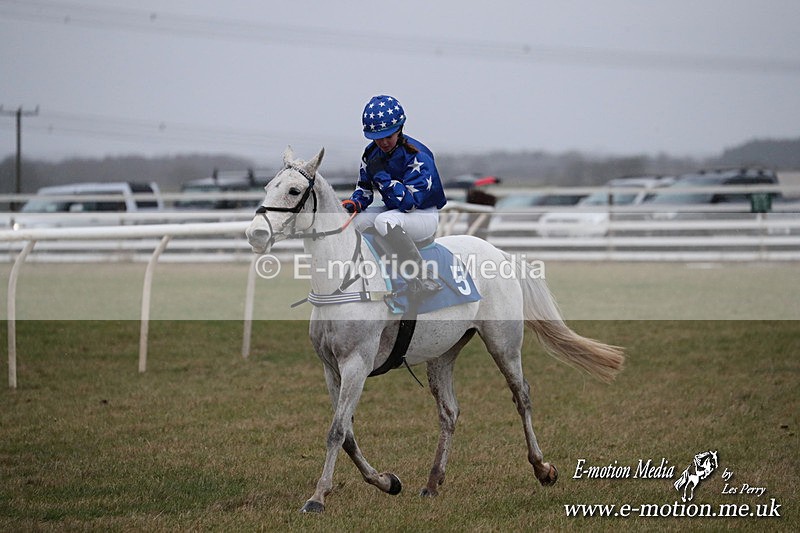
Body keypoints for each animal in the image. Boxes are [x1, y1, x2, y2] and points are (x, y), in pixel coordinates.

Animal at [246, 147, 625, 513]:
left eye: (294, 190)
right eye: (267, 187)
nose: (256, 234)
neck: (343, 279)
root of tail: (500, 253)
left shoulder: (356, 363)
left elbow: (337, 430)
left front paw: (318, 497)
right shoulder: (331, 367)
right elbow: (348, 433)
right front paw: (387, 481)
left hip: (503, 343)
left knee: (522, 396)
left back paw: (542, 468)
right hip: (442, 353)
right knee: (449, 412)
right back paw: (432, 481)